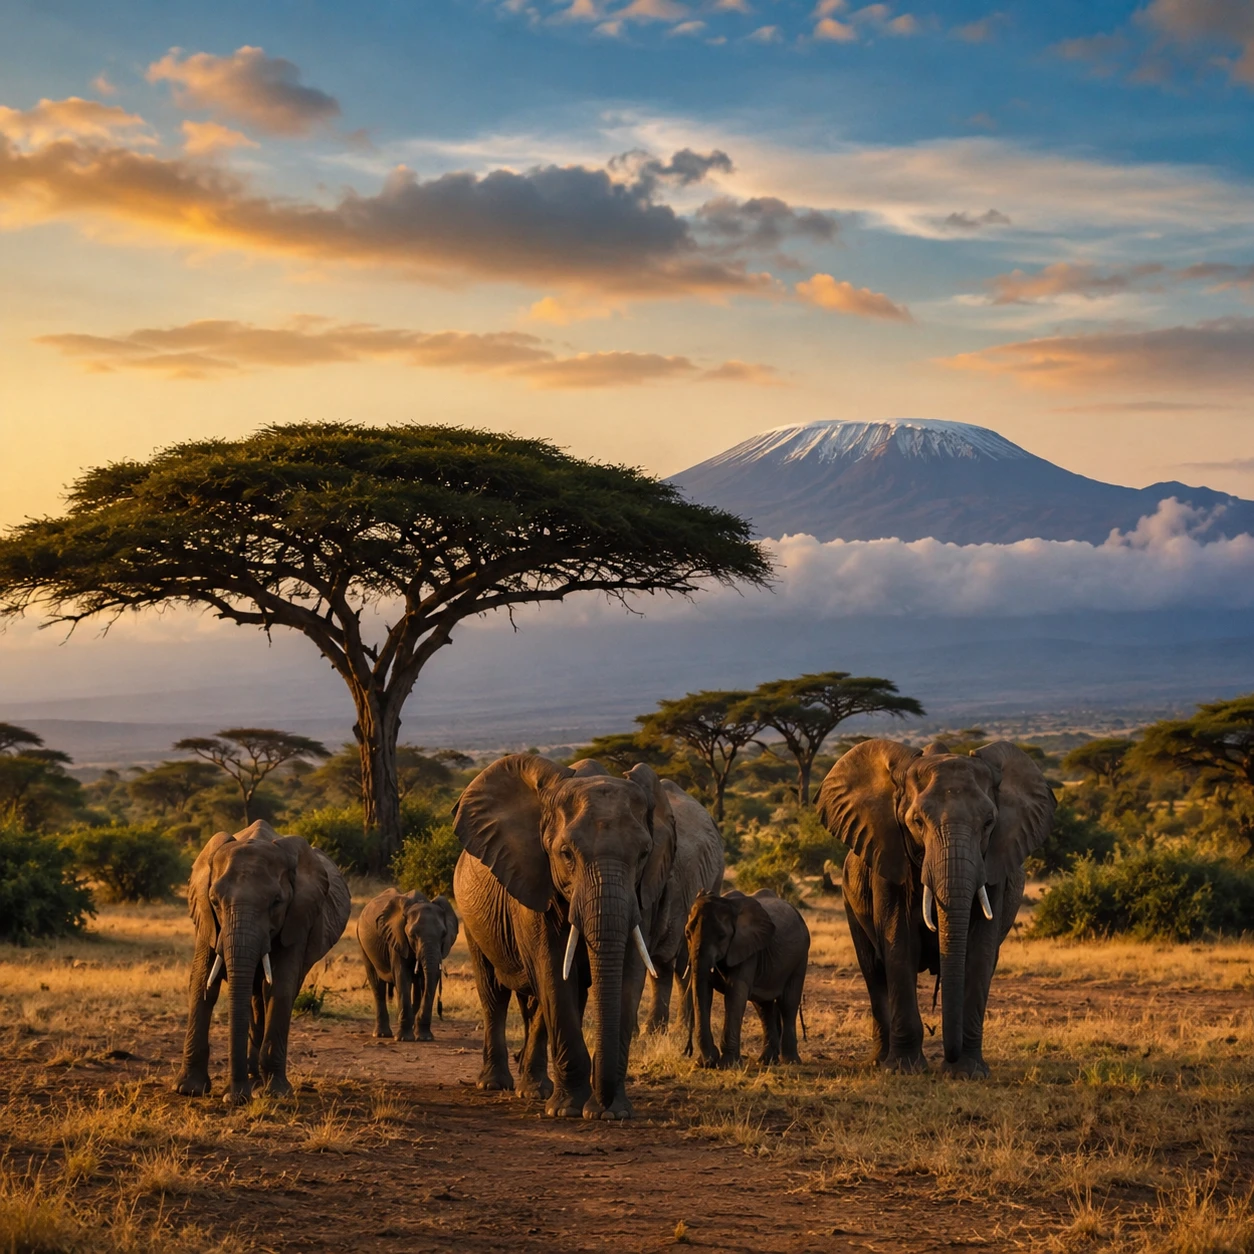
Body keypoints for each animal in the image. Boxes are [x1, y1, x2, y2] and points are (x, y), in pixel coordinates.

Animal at [175, 820, 351, 1105]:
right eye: (214, 901)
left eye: (276, 903)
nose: (235, 1098)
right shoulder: (207, 920)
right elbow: (202, 983)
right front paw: (188, 1089)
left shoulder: (298, 917)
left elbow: (280, 989)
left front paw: (276, 1093)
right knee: (252, 998)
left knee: (266, 996)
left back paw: (258, 1085)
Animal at [357, 888, 459, 1042]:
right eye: (412, 935)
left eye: (443, 934)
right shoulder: (396, 938)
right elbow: (402, 977)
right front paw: (404, 1038)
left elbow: (426, 982)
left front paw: (424, 1037)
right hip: (363, 944)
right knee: (377, 984)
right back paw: (382, 1034)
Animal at [452, 753, 675, 1120]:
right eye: (566, 854)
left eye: (644, 854)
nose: (604, 1105)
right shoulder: (532, 879)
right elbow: (553, 973)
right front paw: (569, 1111)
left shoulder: (642, 896)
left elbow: (628, 976)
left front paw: (612, 1113)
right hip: (470, 913)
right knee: (494, 993)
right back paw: (496, 1084)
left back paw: (534, 1089)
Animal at [686, 889, 810, 1069]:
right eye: (687, 933)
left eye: (722, 936)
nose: (709, 1061)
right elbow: (704, 993)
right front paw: (704, 1062)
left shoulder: (746, 949)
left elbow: (735, 993)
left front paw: (727, 1064)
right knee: (764, 1007)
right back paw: (766, 1061)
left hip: (800, 956)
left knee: (788, 1003)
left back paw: (791, 1061)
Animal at [816, 739, 1055, 1078]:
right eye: (917, 822)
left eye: (989, 823)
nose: (949, 1057)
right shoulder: (889, 858)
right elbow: (899, 945)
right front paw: (903, 1070)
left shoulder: (993, 863)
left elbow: (980, 951)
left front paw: (968, 1073)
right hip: (850, 898)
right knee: (874, 971)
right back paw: (879, 1062)